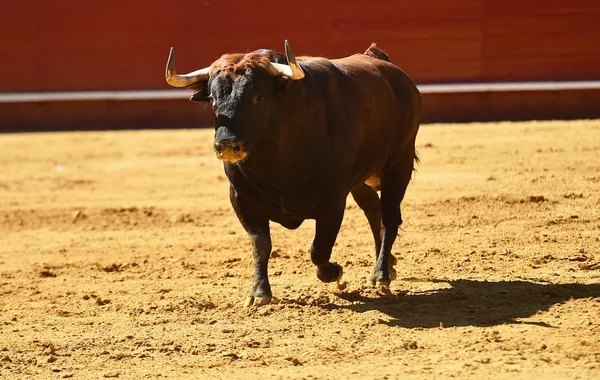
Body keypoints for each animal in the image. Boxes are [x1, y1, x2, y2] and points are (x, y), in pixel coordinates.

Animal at [164, 40, 422, 308]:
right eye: (213, 100)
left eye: (259, 98)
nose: (226, 144)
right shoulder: (241, 199)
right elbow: (260, 244)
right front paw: (259, 293)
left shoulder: (333, 200)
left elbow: (319, 248)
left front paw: (335, 272)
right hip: (361, 179)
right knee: (373, 210)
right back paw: (388, 264)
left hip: (399, 163)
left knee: (389, 217)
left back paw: (381, 275)